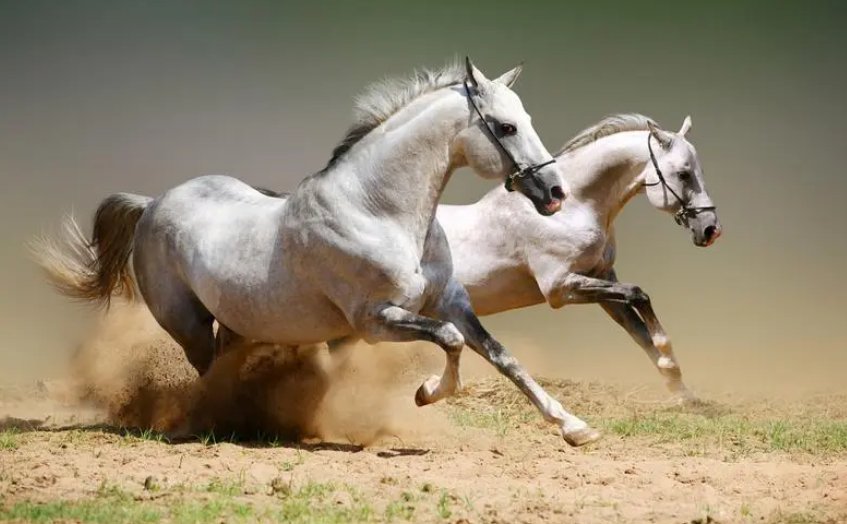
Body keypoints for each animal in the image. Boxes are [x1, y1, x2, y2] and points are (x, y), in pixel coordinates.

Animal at [34, 59, 603, 446]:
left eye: (525, 118)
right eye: (505, 126)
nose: (554, 193)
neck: (378, 211)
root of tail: (152, 203)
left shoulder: (451, 302)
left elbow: (502, 357)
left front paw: (574, 427)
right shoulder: (374, 321)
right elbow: (450, 342)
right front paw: (426, 392)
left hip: (237, 323)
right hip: (186, 323)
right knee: (206, 373)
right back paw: (214, 423)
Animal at [437, 114, 721, 402]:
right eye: (684, 174)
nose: (711, 230)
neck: (571, 209)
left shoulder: (602, 279)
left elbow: (639, 331)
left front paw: (683, 393)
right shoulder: (559, 288)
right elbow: (638, 294)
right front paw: (667, 357)